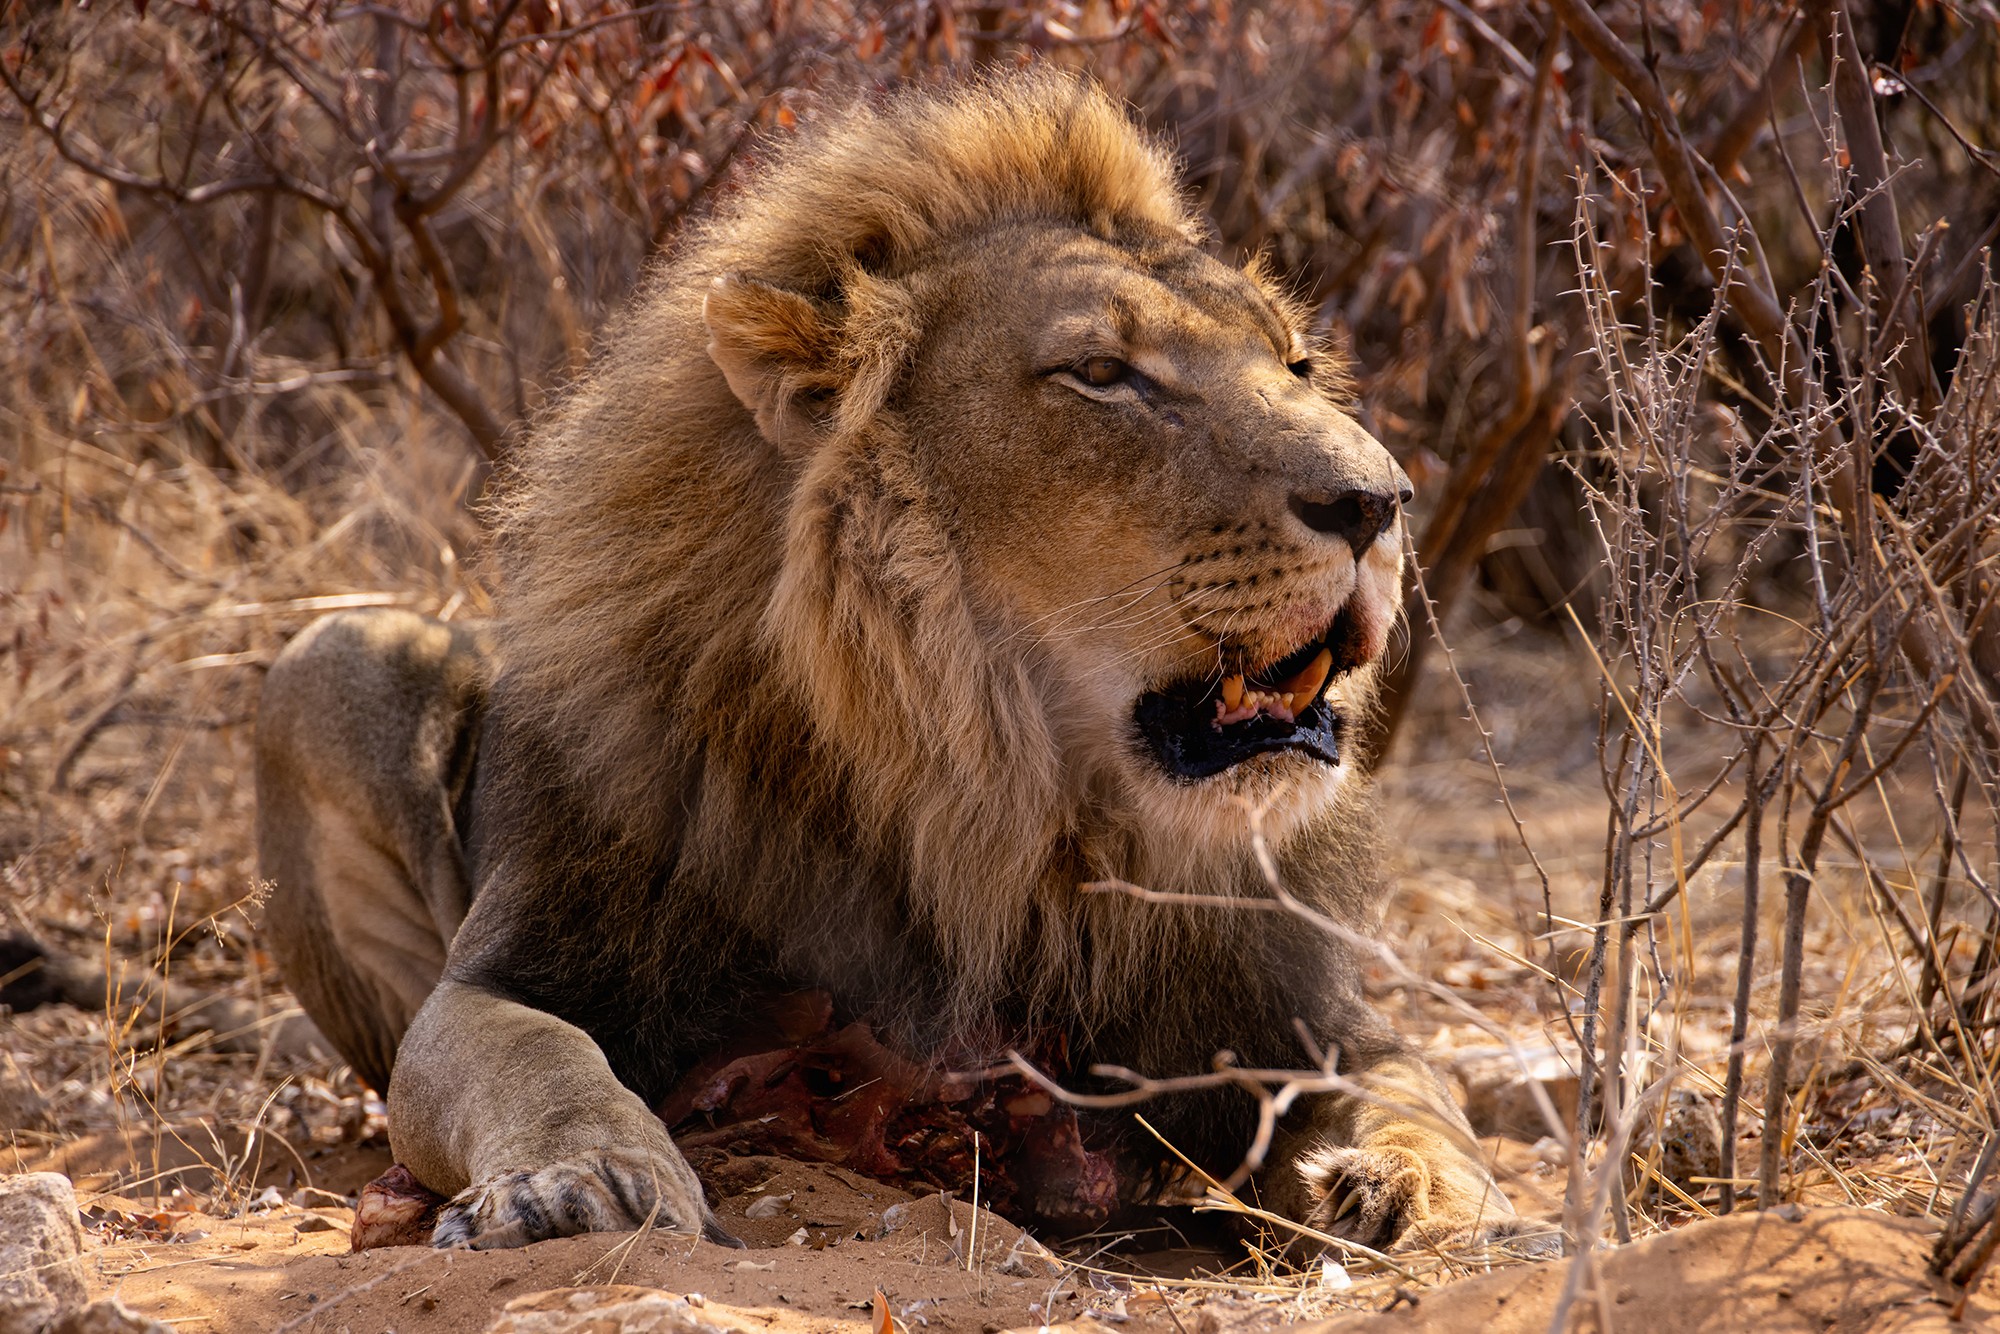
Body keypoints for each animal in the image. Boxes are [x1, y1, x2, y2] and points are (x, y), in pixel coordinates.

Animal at [254, 71, 1510, 1253]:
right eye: (1101, 372)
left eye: (1295, 363)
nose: (1379, 501)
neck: (1003, 805)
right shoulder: (508, 976)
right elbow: (537, 1053)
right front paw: (584, 1176)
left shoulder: (1310, 1021)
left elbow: (1419, 1095)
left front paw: (1407, 1183)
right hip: (330, 650)